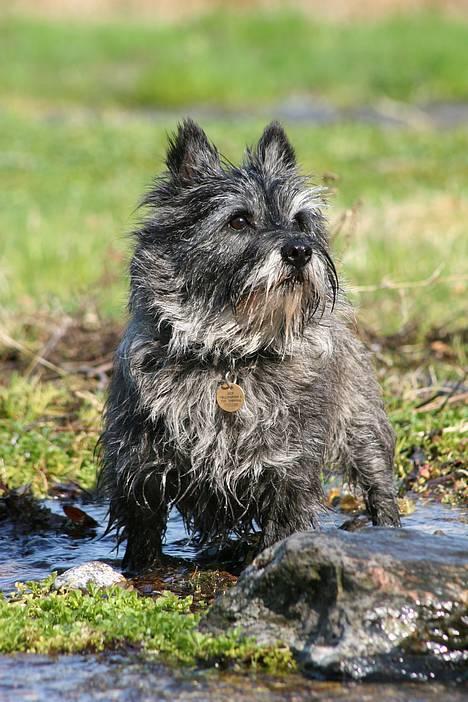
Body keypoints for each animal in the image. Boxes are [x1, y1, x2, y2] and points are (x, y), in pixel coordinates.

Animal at [98, 119, 398, 572]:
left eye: (300, 220)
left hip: (360, 426)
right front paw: (142, 571)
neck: (230, 355)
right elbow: (144, 535)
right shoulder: (141, 470)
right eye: (239, 220)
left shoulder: (288, 471)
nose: (299, 250)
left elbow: (281, 529)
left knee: (378, 482)